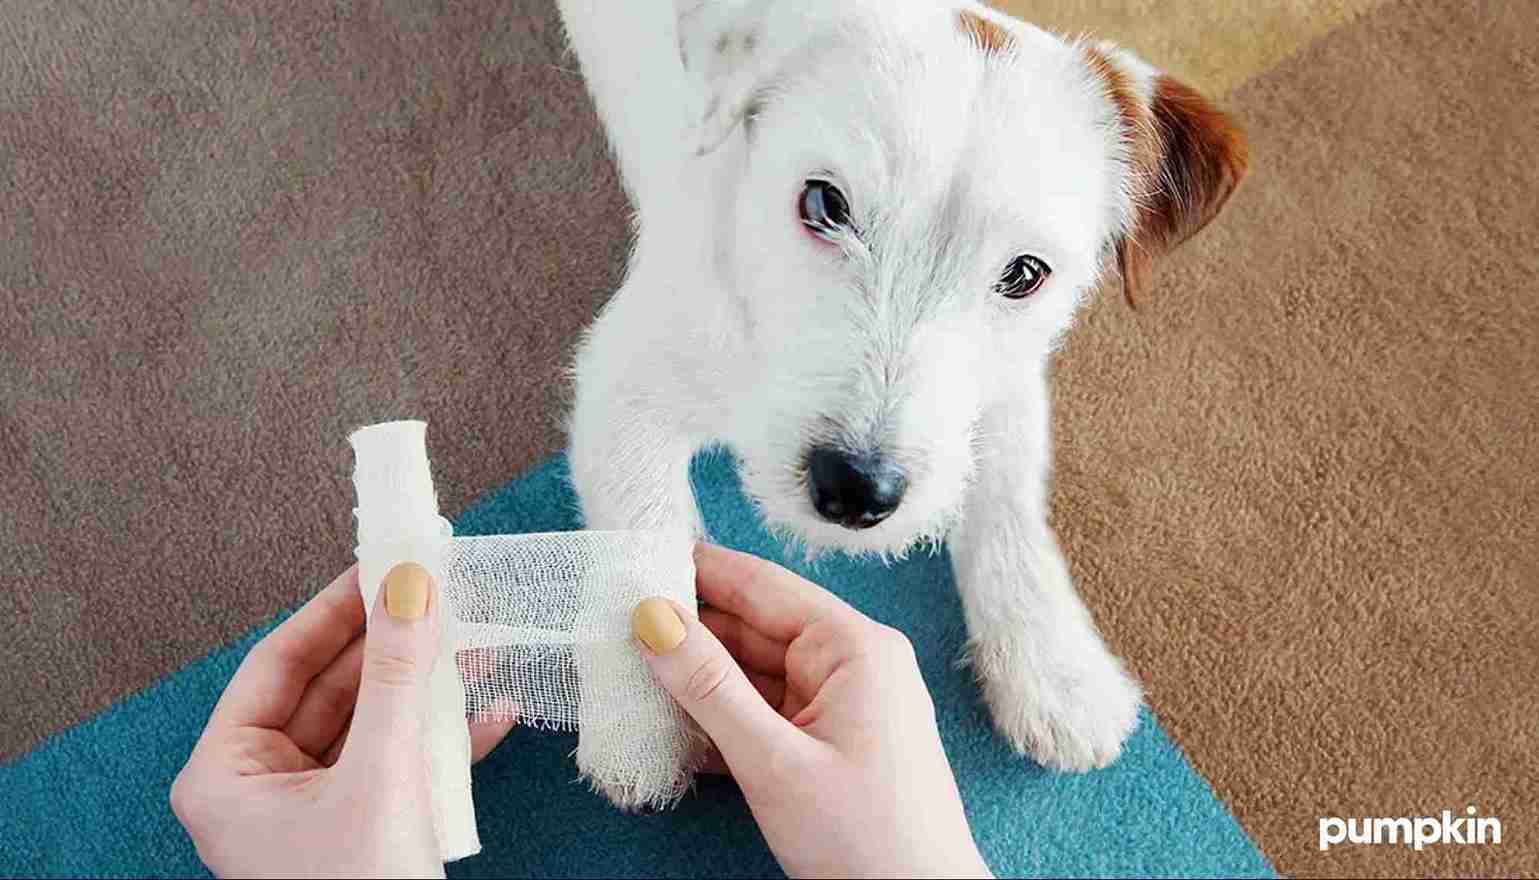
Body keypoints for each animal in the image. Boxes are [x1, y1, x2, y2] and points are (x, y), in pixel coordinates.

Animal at [560, 0, 1243, 784]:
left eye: (1024, 274)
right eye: (823, 201)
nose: (856, 490)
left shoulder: (1004, 386)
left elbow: (1008, 501)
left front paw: (1054, 668)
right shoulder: (622, 382)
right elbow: (639, 537)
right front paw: (641, 720)